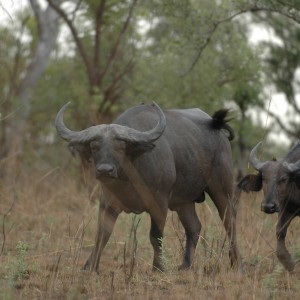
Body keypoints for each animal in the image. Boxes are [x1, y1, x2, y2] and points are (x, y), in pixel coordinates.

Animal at [54, 102, 241, 274]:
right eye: (94, 146)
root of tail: (217, 128)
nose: (105, 170)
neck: (128, 179)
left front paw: (158, 267)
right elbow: (102, 235)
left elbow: (155, 236)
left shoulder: (159, 204)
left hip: (222, 190)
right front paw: (90, 267)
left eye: (120, 147)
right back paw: (185, 266)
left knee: (230, 223)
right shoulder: (107, 204)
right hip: (184, 203)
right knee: (194, 227)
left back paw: (237, 264)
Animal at [238, 142, 298, 270]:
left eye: (283, 179)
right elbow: (280, 232)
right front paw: (290, 264)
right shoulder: (287, 209)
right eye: (264, 178)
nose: (268, 206)